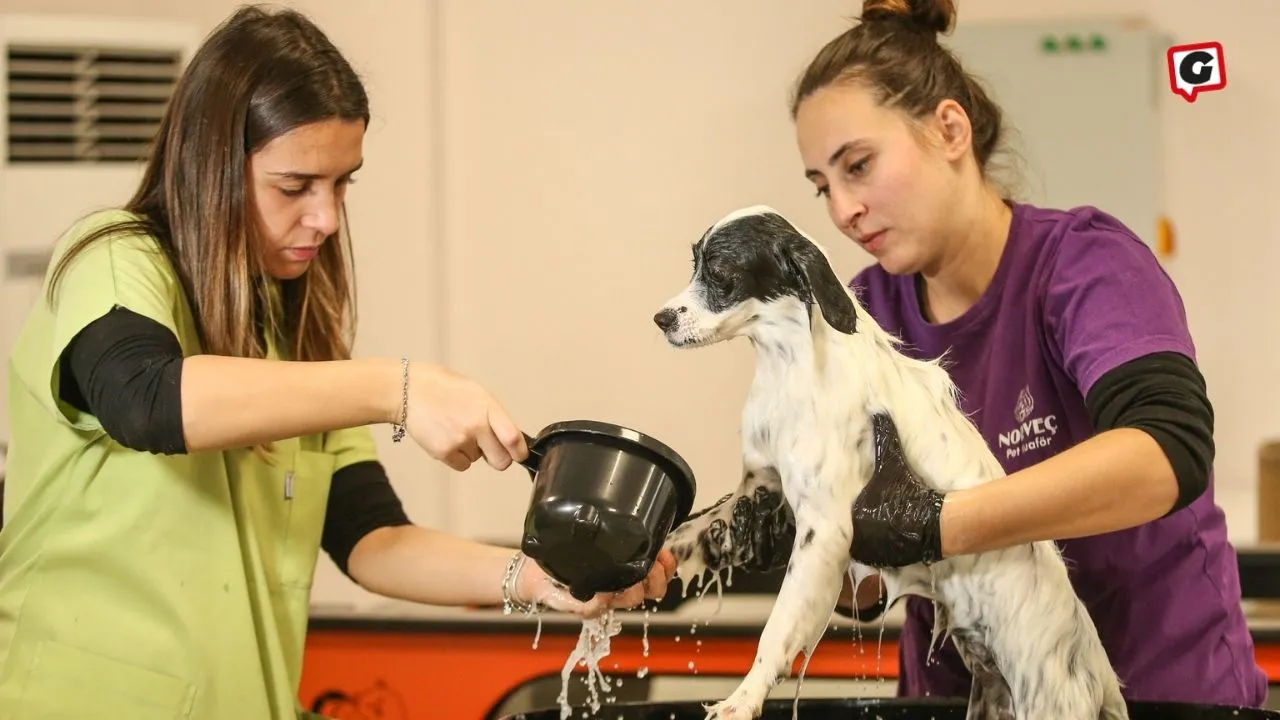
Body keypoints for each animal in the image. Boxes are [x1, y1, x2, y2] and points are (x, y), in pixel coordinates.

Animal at [655, 204, 1126, 717]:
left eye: (720, 273)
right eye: (694, 264)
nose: (660, 318)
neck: (790, 368)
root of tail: (1096, 668)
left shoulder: (826, 532)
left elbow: (776, 631)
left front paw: (743, 699)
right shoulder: (758, 486)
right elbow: (684, 534)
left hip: (1047, 700)